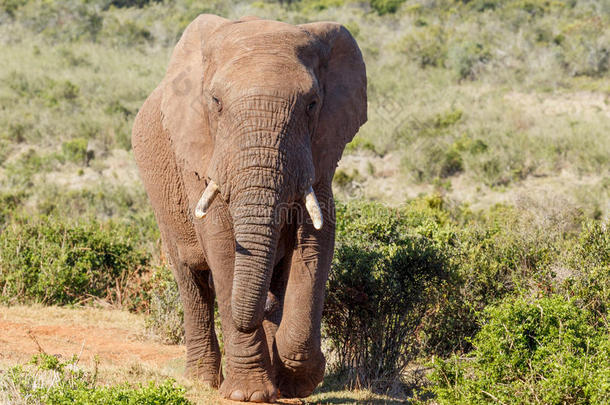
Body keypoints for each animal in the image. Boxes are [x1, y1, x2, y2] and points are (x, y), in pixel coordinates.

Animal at [131, 14, 364, 402]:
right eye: (215, 102)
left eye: (312, 104)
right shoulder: (199, 152)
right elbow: (222, 240)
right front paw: (249, 394)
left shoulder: (320, 149)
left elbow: (317, 237)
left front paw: (295, 379)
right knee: (191, 281)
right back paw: (202, 380)